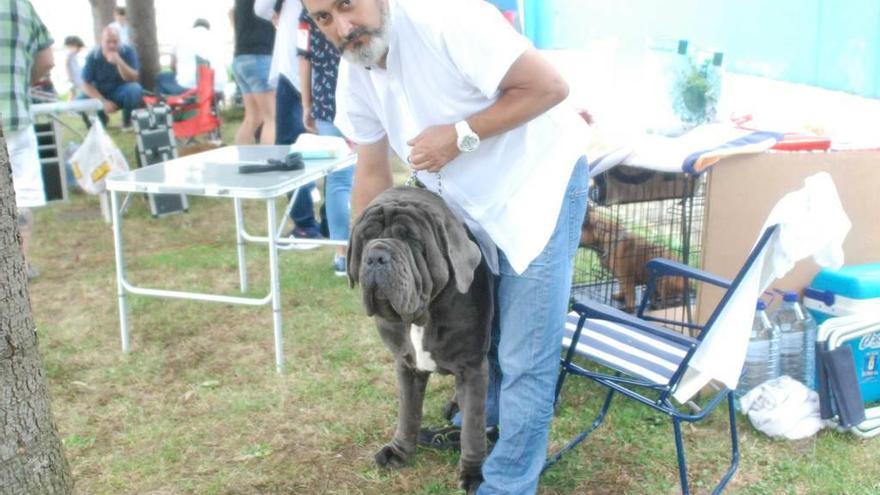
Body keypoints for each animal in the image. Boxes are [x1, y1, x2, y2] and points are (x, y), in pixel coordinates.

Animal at [346, 187, 496, 495]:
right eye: (366, 237)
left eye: (411, 239)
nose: (376, 255)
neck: (421, 317)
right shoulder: (406, 365)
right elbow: (409, 412)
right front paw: (400, 452)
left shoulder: (472, 366)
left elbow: (473, 428)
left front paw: (474, 473)